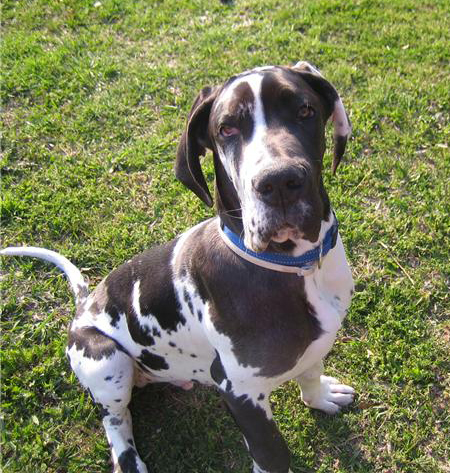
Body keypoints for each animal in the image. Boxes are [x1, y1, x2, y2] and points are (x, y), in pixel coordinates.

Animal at [1, 61, 355, 473]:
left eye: (304, 110)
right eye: (226, 128)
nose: (279, 182)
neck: (297, 268)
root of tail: (81, 308)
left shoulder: (314, 346)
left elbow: (310, 374)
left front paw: (319, 397)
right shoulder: (240, 392)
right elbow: (272, 455)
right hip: (106, 363)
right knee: (116, 422)